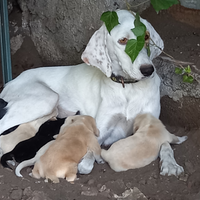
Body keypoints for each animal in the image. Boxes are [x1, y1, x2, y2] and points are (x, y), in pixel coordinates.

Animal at [0, 9, 183, 175]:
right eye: (123, 40)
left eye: (146, 37)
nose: (148, 70)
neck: (129, 88)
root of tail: (10, 82)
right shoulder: (100, 130)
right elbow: (93, 147)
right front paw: (86, 163)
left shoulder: (153, 123)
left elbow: (165, 143)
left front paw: (171, 164)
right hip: (46, 99)